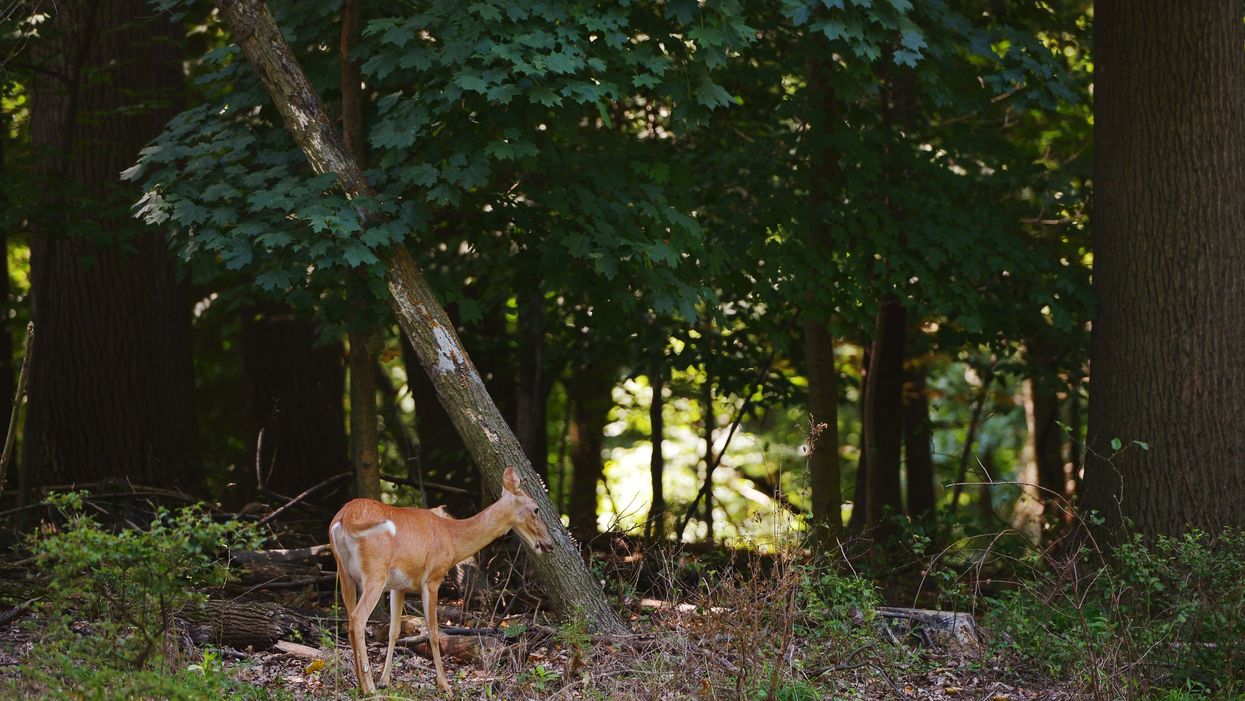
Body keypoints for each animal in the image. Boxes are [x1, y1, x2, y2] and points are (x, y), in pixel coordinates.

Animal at [328, 466, 553, 693]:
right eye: (536, 509)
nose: (549, 544)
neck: (451, 537)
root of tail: (344, 518)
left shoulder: (399, 586)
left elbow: (394, 630)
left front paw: (385, 680)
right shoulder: (432, 578)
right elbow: (434, 632)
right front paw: (444, 685)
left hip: (344, 572)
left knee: (350, 620)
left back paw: (360, 683)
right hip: (374, 572)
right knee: (358, 618)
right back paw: (369, 687)